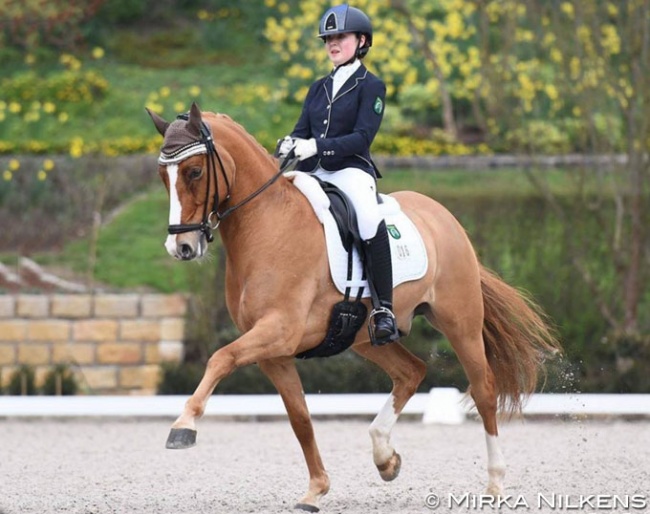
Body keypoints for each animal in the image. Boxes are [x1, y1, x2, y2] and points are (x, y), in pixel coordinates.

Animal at [147, 102, 556, 510]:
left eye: (195, 171)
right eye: (163, 176)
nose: (181, 248)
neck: (267, 224)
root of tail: (442, 215)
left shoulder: (279, 331)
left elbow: (221, 358)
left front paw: (183, 426)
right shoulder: (273, 352)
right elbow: (300, 418)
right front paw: (315, 489)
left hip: (460, 322)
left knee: (483, 390)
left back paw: (495, 484)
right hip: (365, 335)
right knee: (411, 372)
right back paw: (385, 458)